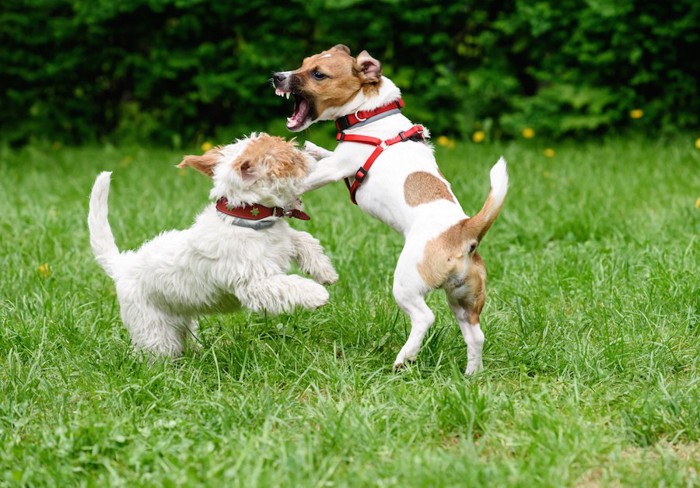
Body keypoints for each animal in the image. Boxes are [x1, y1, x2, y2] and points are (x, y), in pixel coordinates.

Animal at [87, 135, 340, 356]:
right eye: (292, 160)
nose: (308, 152)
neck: (249, 220)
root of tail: (122, 264)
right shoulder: (254, 285)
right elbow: (288, 284)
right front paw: (317, 293)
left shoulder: (284, 242)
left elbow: (303, 240)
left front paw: (325, 271)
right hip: (153, 329)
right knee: (157, 351)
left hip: (181, 319)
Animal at [270, 45, 506, 374]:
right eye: (303, 64)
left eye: (318, 74)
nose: (277, 76)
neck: (369, 114)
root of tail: (464, 231)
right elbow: (321, 155)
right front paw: (312, 148)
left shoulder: (334, 168)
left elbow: (305, 175)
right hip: (463, 299)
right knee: (476, 335)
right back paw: (471, 375)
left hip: (406, 284)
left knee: (425, 318)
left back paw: (404, 357)